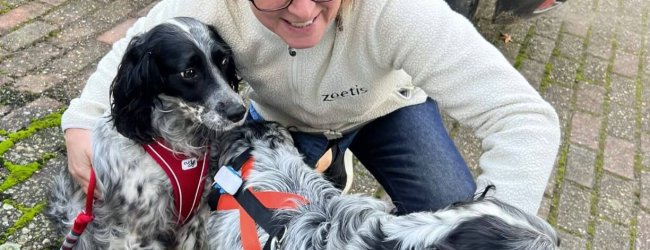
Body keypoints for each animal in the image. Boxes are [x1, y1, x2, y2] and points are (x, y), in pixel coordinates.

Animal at [46, 16, 246, 249]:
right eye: (189, 72)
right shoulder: (141, 233)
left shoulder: (196, 218)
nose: (238, 111)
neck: (179, 143)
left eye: (223, 61)